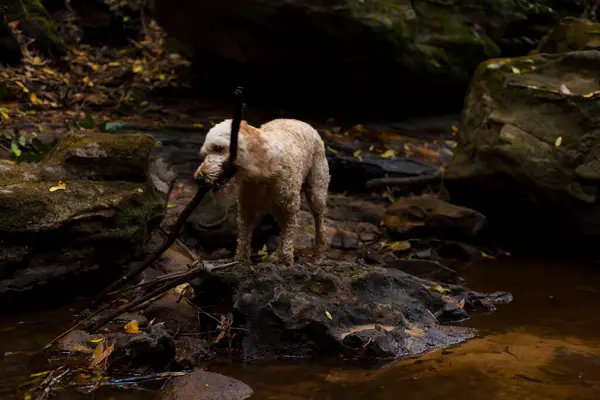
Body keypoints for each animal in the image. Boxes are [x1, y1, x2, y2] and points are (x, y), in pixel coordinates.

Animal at [195, 120, 330, 268]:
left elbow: (289, 235)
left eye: (218, 148)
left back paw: (318, 257)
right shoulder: (246, 209)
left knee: (320, 226)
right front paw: (241, 261)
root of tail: (303, 122)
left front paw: (286, 261)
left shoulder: (291, 209)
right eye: (205, 153)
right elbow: (244, 237)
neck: (263, 173)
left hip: (316, 192)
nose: (198, 179)